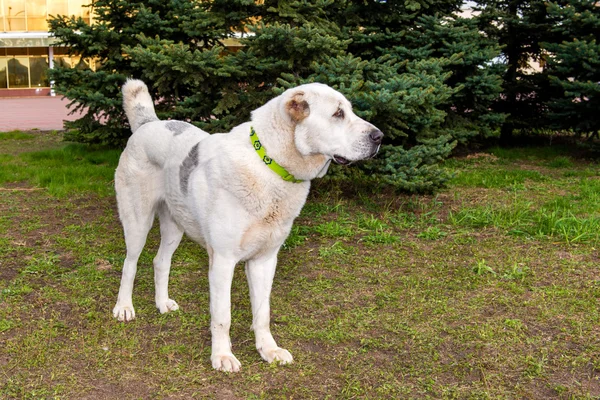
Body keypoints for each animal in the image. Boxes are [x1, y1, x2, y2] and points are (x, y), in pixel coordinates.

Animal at [113, 79, 384, 372]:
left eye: (350, 111)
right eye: (337, 114)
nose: (380, 137)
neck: (270, 166)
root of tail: (149, 123)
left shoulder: (265, 261)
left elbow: (263, 313)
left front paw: (269, 350)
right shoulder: (223, 261)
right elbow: (223, 315)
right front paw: (222, 356)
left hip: (175, 226)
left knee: (160, 261)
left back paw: (162, 303)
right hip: (138, 222)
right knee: (130, 264)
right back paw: (124, 307)